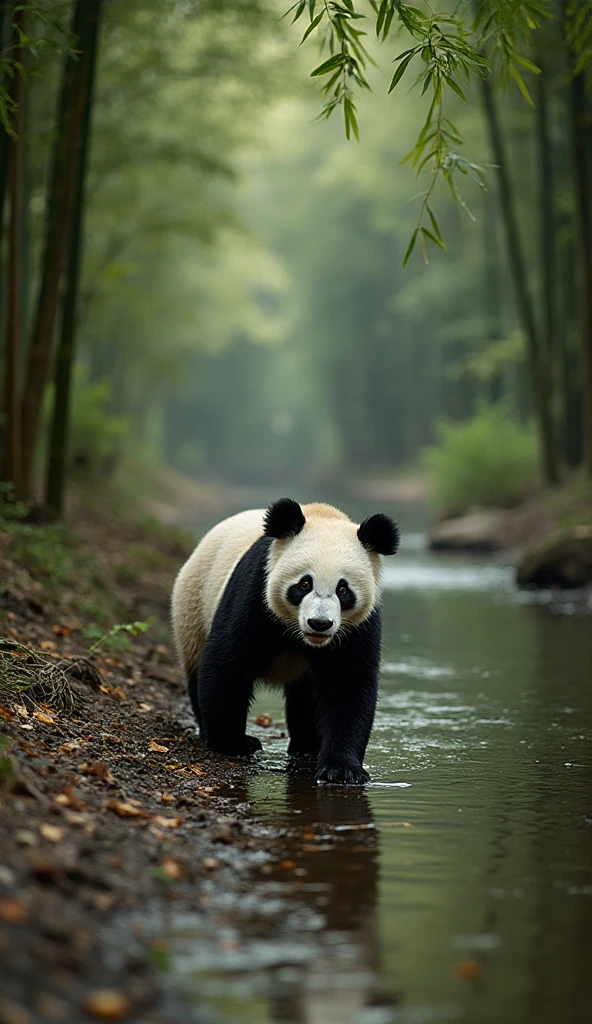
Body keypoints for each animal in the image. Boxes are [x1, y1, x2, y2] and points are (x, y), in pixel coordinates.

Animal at [171, 498, 399, 785]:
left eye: (343, 589)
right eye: (304, 584)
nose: (319, 623)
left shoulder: (359, 626)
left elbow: (347, 683)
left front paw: (341, 769)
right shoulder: (256, 591)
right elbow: (228, 662)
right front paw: (233, 744)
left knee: (306, 696)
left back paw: (307, 746)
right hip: (194, 607)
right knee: (196, 666)